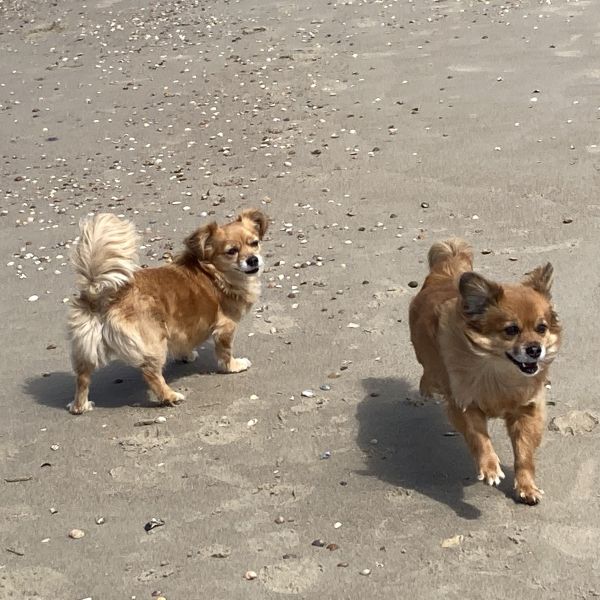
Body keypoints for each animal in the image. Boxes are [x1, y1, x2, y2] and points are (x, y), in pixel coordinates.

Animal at [410, 241, 560, 504]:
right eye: (511, 330)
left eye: (541, 328)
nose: (535, 349)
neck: (498, 371)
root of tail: (445, 273)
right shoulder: (465, 405)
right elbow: (479, 438)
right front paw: (490, 467)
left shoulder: (526, 411)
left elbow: (524, 454)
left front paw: (527, 486)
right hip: (425, 355)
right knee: (429, 371)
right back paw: (425, 389)